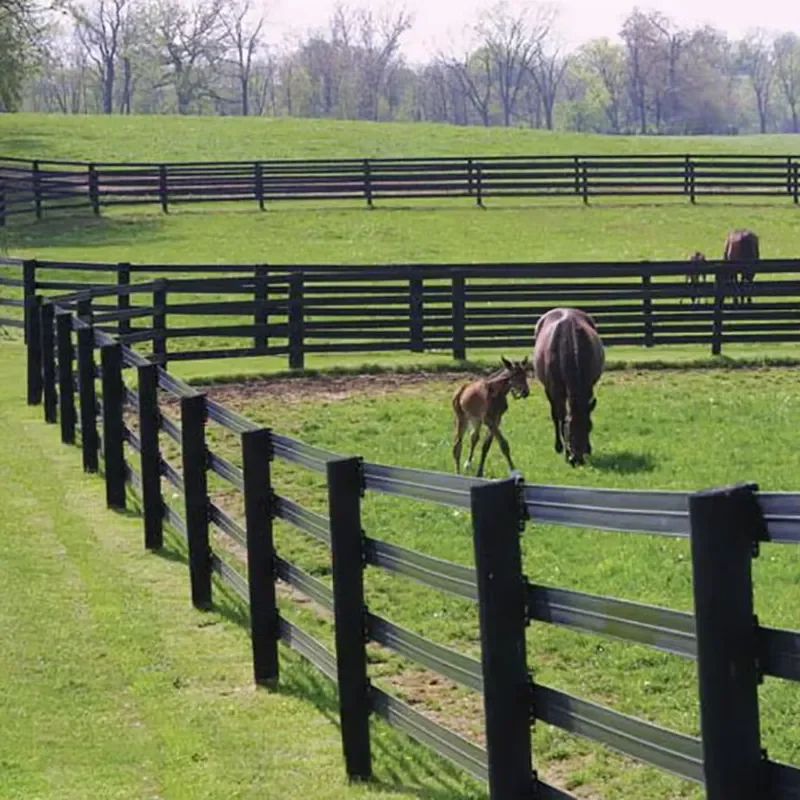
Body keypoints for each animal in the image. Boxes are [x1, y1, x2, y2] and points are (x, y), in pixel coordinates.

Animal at [532, 308, 605, 467]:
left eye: (589, 426)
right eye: (567, 429)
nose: (576, 459)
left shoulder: (588, 386)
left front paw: (588, 448)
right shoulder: (555, 390)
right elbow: (560, 416)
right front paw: (565, 451)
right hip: (549, 390)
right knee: (555, 415)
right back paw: (558, 447)